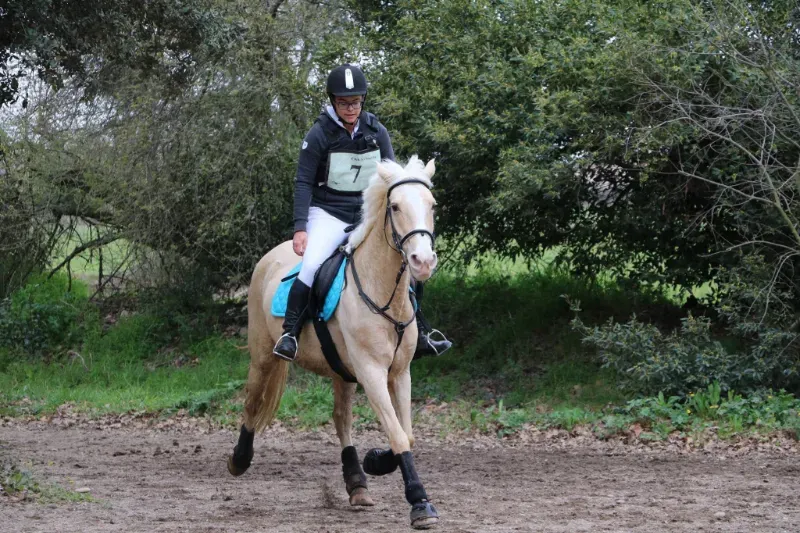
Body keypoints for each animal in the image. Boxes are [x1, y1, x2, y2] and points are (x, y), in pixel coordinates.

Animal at [227, 156, 441, 529]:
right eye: (395, 207)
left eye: (431, 205)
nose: (423, 262)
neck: (382, 291)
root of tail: (270, 256)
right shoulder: (371, 372)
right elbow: (397, 433)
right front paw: (419, 502)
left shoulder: (400, 373)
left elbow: (406, 433)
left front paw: (376, 461)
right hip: (263, 355)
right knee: (253, 402)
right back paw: (239, 459)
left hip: (342, 371)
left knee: (341, 419)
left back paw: (357, 483)